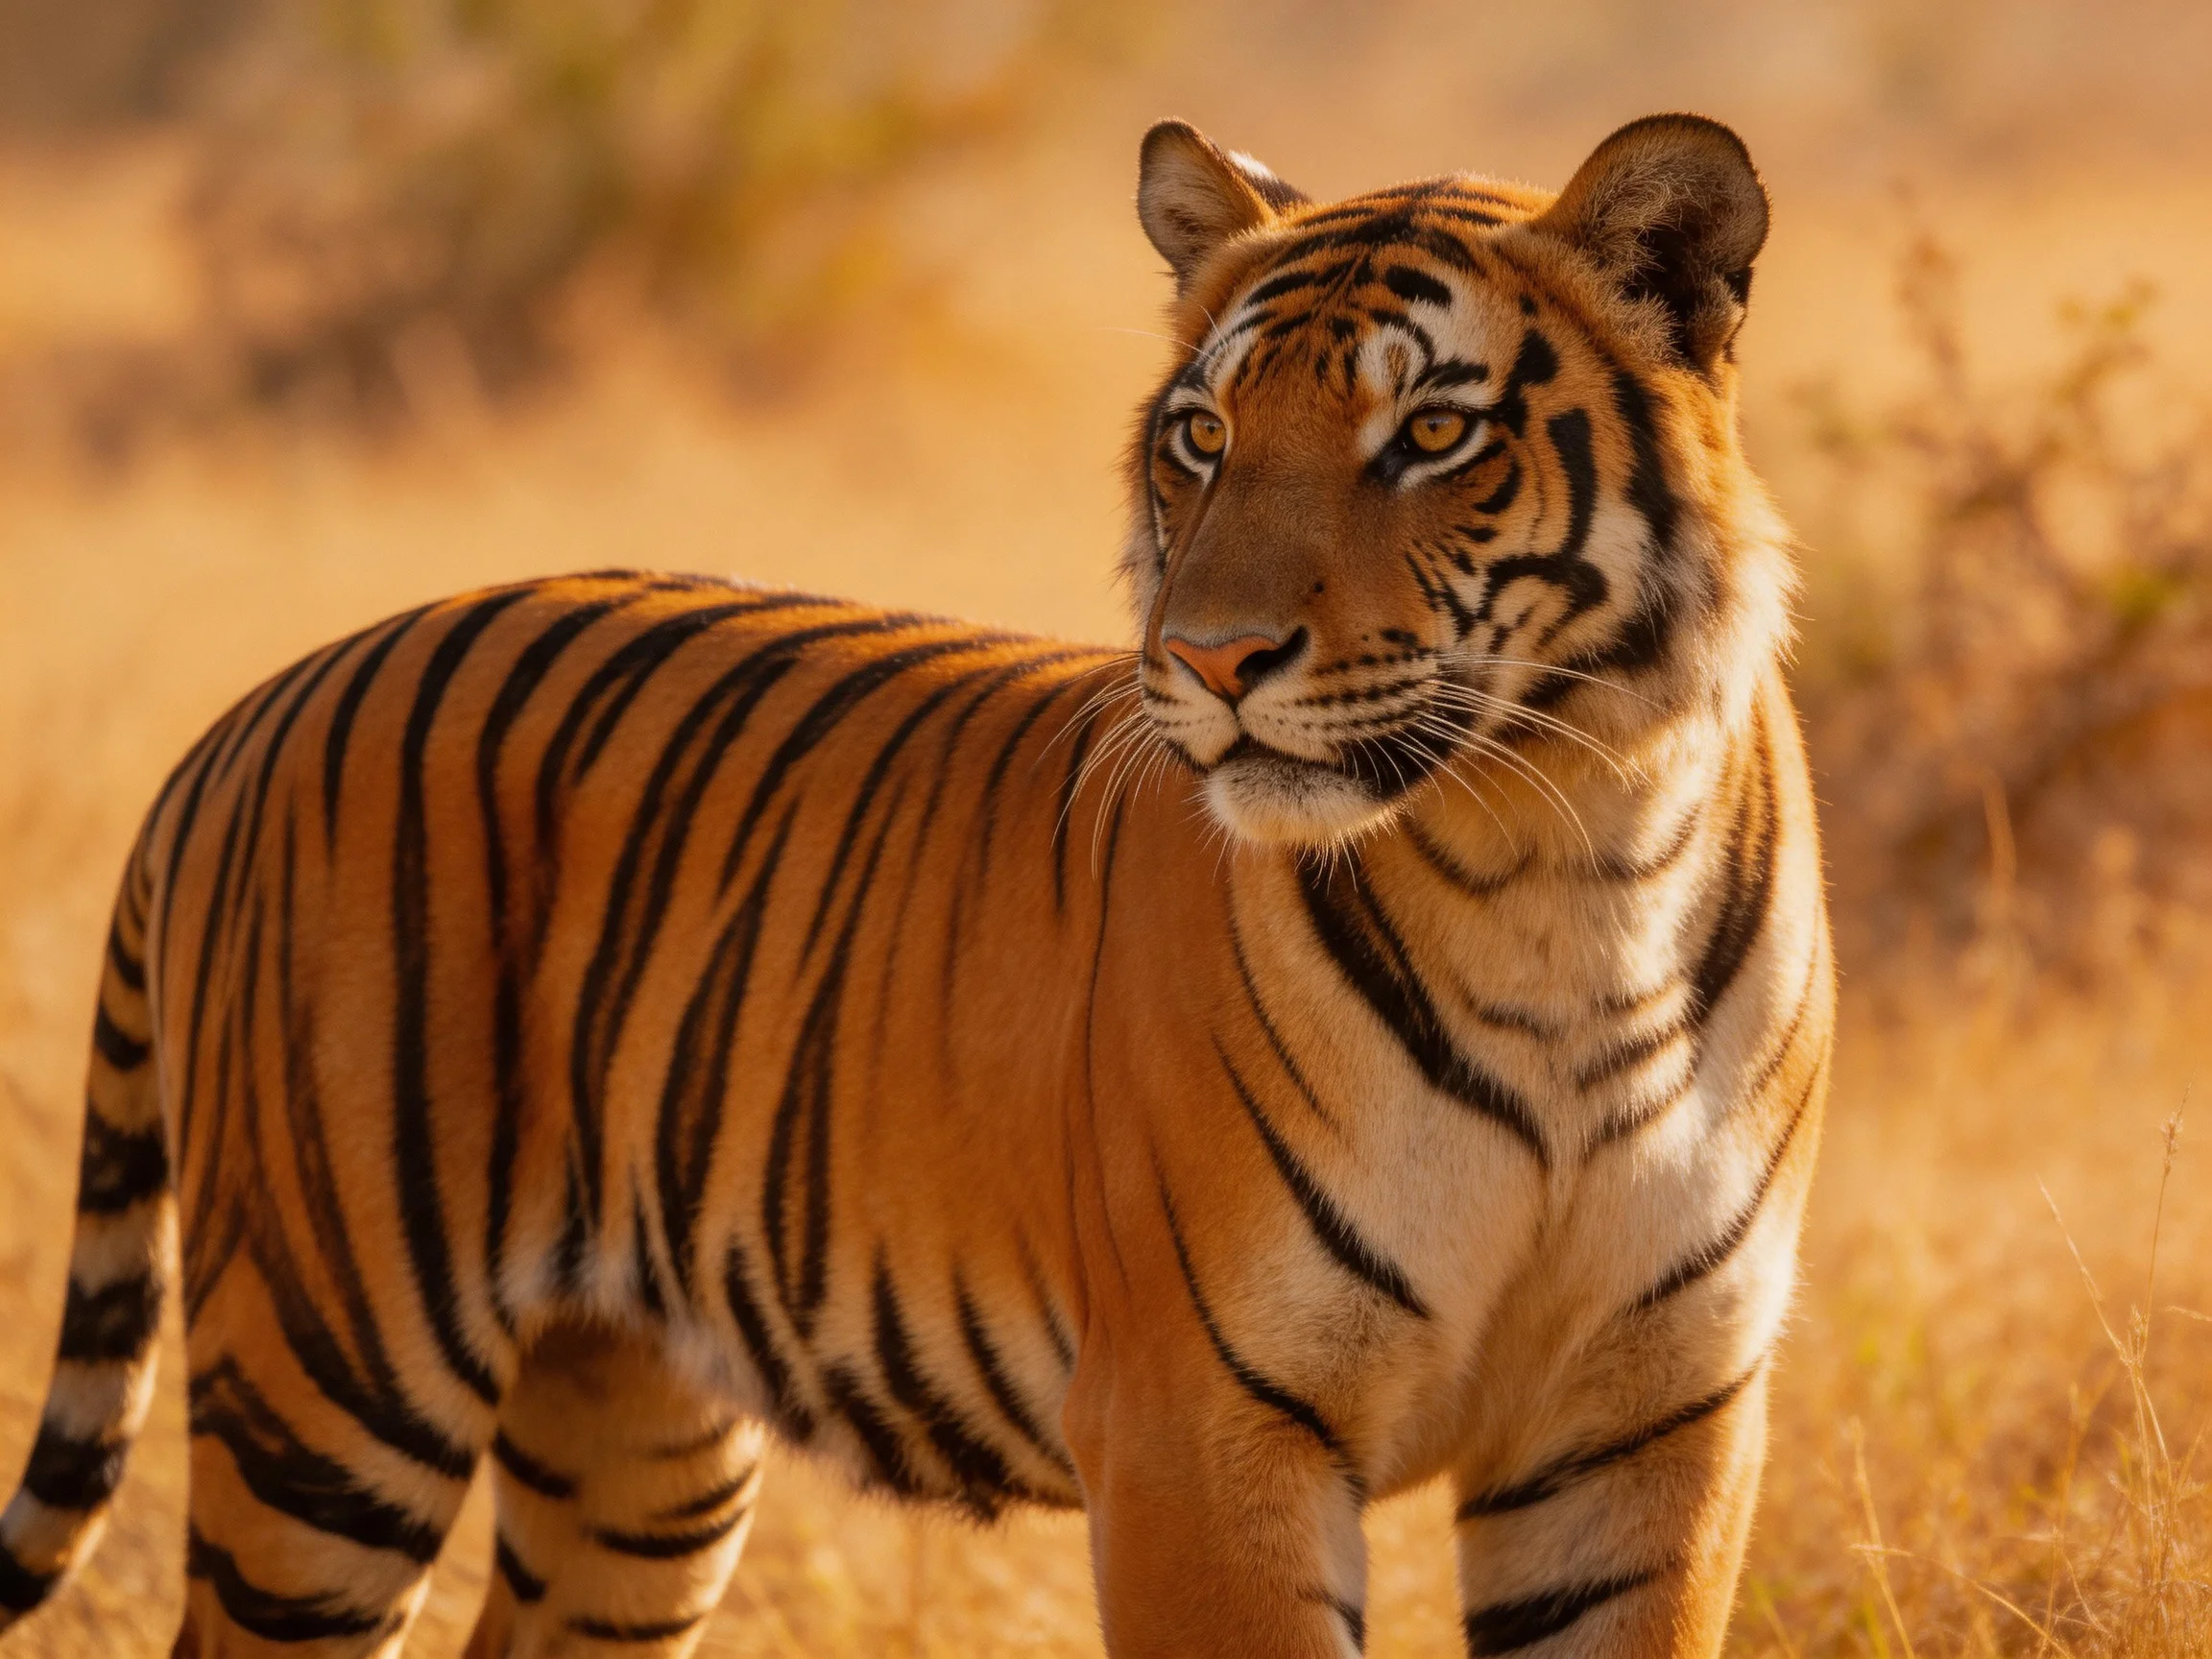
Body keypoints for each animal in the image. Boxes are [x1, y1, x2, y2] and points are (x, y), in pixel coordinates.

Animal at [0, 111, 1830, 1657]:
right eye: (1203, 436)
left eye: (1433, 433)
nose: (1209, 660)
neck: (1565, 865)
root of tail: (257, 702)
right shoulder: (1200, 1430)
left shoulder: (1643, 1429)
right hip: (333, 1394)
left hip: (633, 1441)